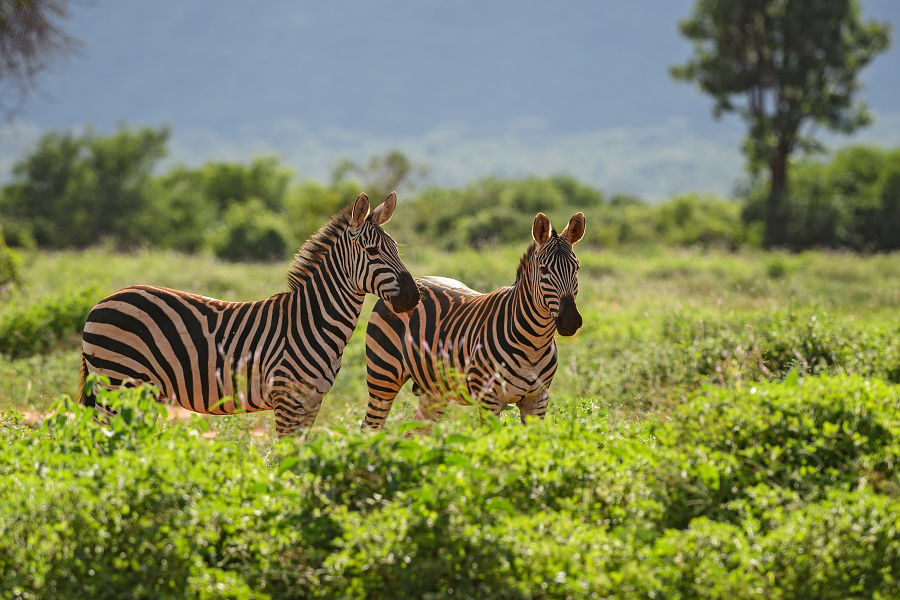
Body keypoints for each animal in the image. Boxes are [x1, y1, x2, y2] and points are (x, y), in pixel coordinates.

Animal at [79, 195, 420, 434]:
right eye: (372, 251)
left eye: (397, 249)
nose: (413, 296)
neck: (314, 321)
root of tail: (100, 303)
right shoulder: (287, 399)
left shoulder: (313, 401)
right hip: (117, 383)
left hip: (136, 390)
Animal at [362, 213, 588, 428]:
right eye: (544, 270)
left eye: (577, 268)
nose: (570, 321)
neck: (535, 343)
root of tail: (414, 281)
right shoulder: (489, 399)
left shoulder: (538, 400)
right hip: (383, 375)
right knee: (370, 426)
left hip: (433, 390)